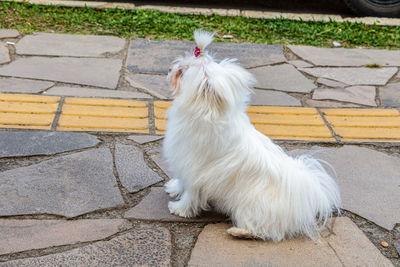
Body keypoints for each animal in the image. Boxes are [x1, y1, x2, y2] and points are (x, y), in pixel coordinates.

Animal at [162, 29, 340, 243]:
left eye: (182, 71)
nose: (170, 67)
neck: (207, 113)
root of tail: (303, 200)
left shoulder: (195, 171)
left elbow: (190, 195)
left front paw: (179, 209)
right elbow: (181, 183)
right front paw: (174, 188)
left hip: (252, 209)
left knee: (266, 231)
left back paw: (239, 231)